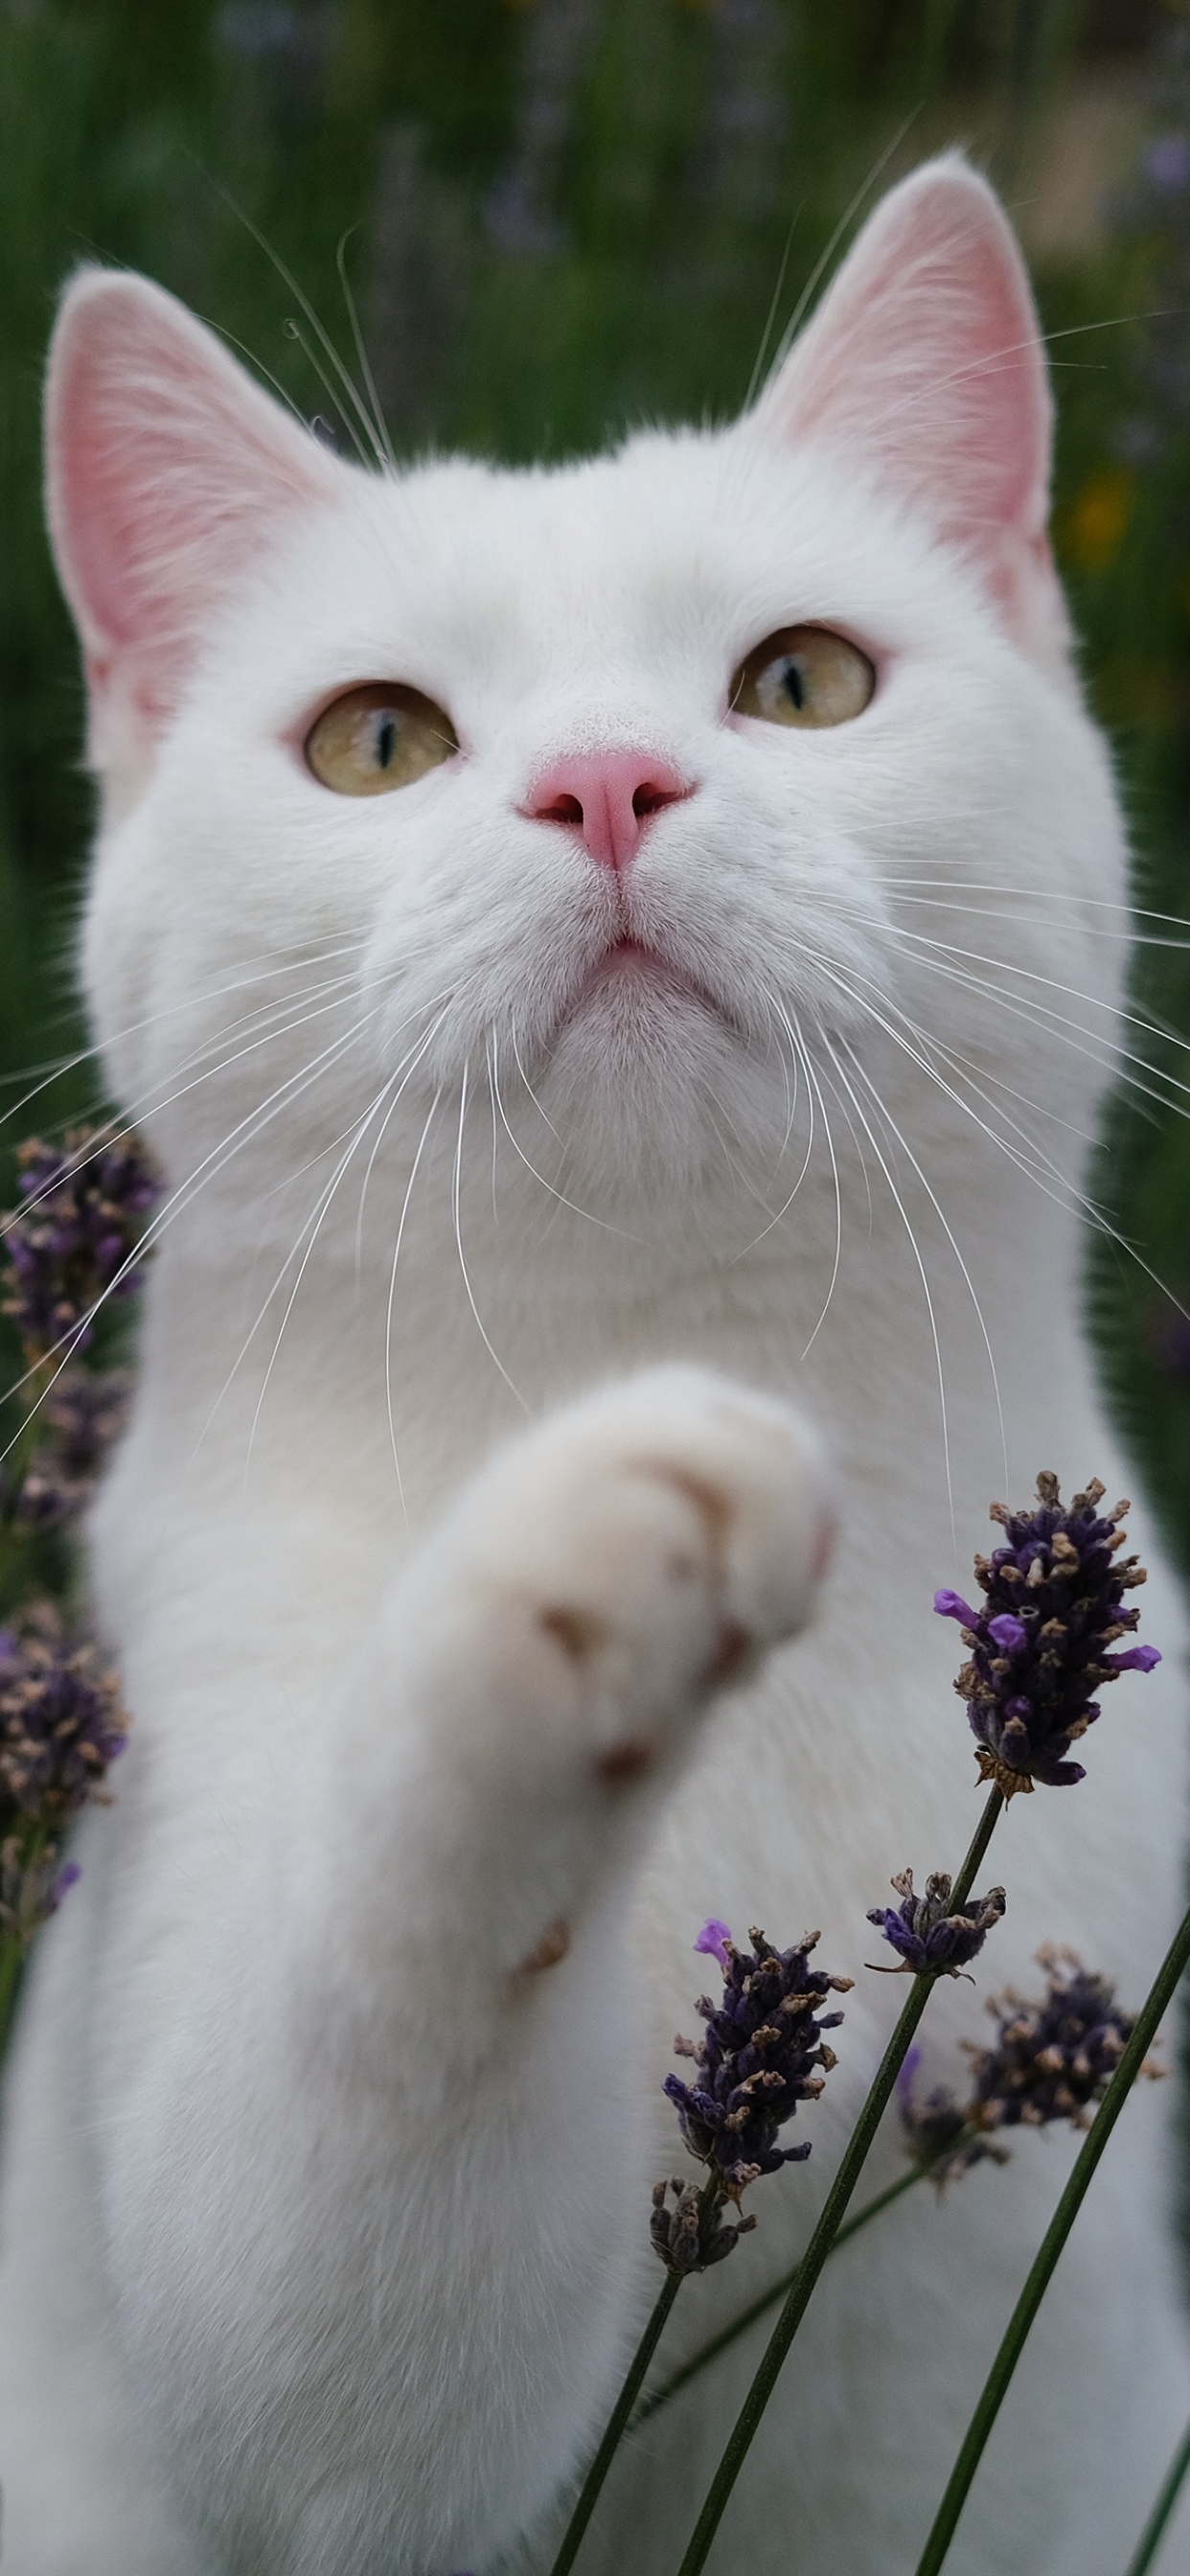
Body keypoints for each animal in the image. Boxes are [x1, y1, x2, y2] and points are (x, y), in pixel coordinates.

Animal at [2, 161, 1190, 2576]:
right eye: (377, 739)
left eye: (802, 682)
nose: (605, 781)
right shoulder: (271, 2365)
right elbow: (344, 2226)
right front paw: (569, 1550)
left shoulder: (991, 2421)